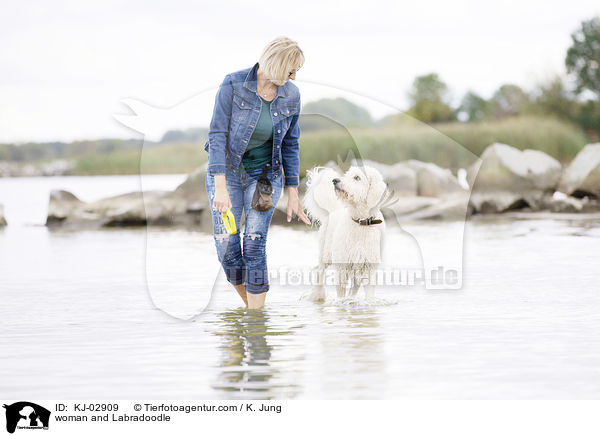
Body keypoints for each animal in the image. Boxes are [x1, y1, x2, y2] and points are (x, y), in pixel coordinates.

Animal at [304, 165, 390, 302]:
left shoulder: (368, 267)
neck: (360, 222)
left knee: (354, 288)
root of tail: (333, 210)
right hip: (325, 254)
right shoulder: (342, 267)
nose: (335, 180)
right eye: (346, 174)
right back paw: (317, 295)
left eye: (357, 177)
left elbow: (368, 294)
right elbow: (340, 294)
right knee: (319, 272)